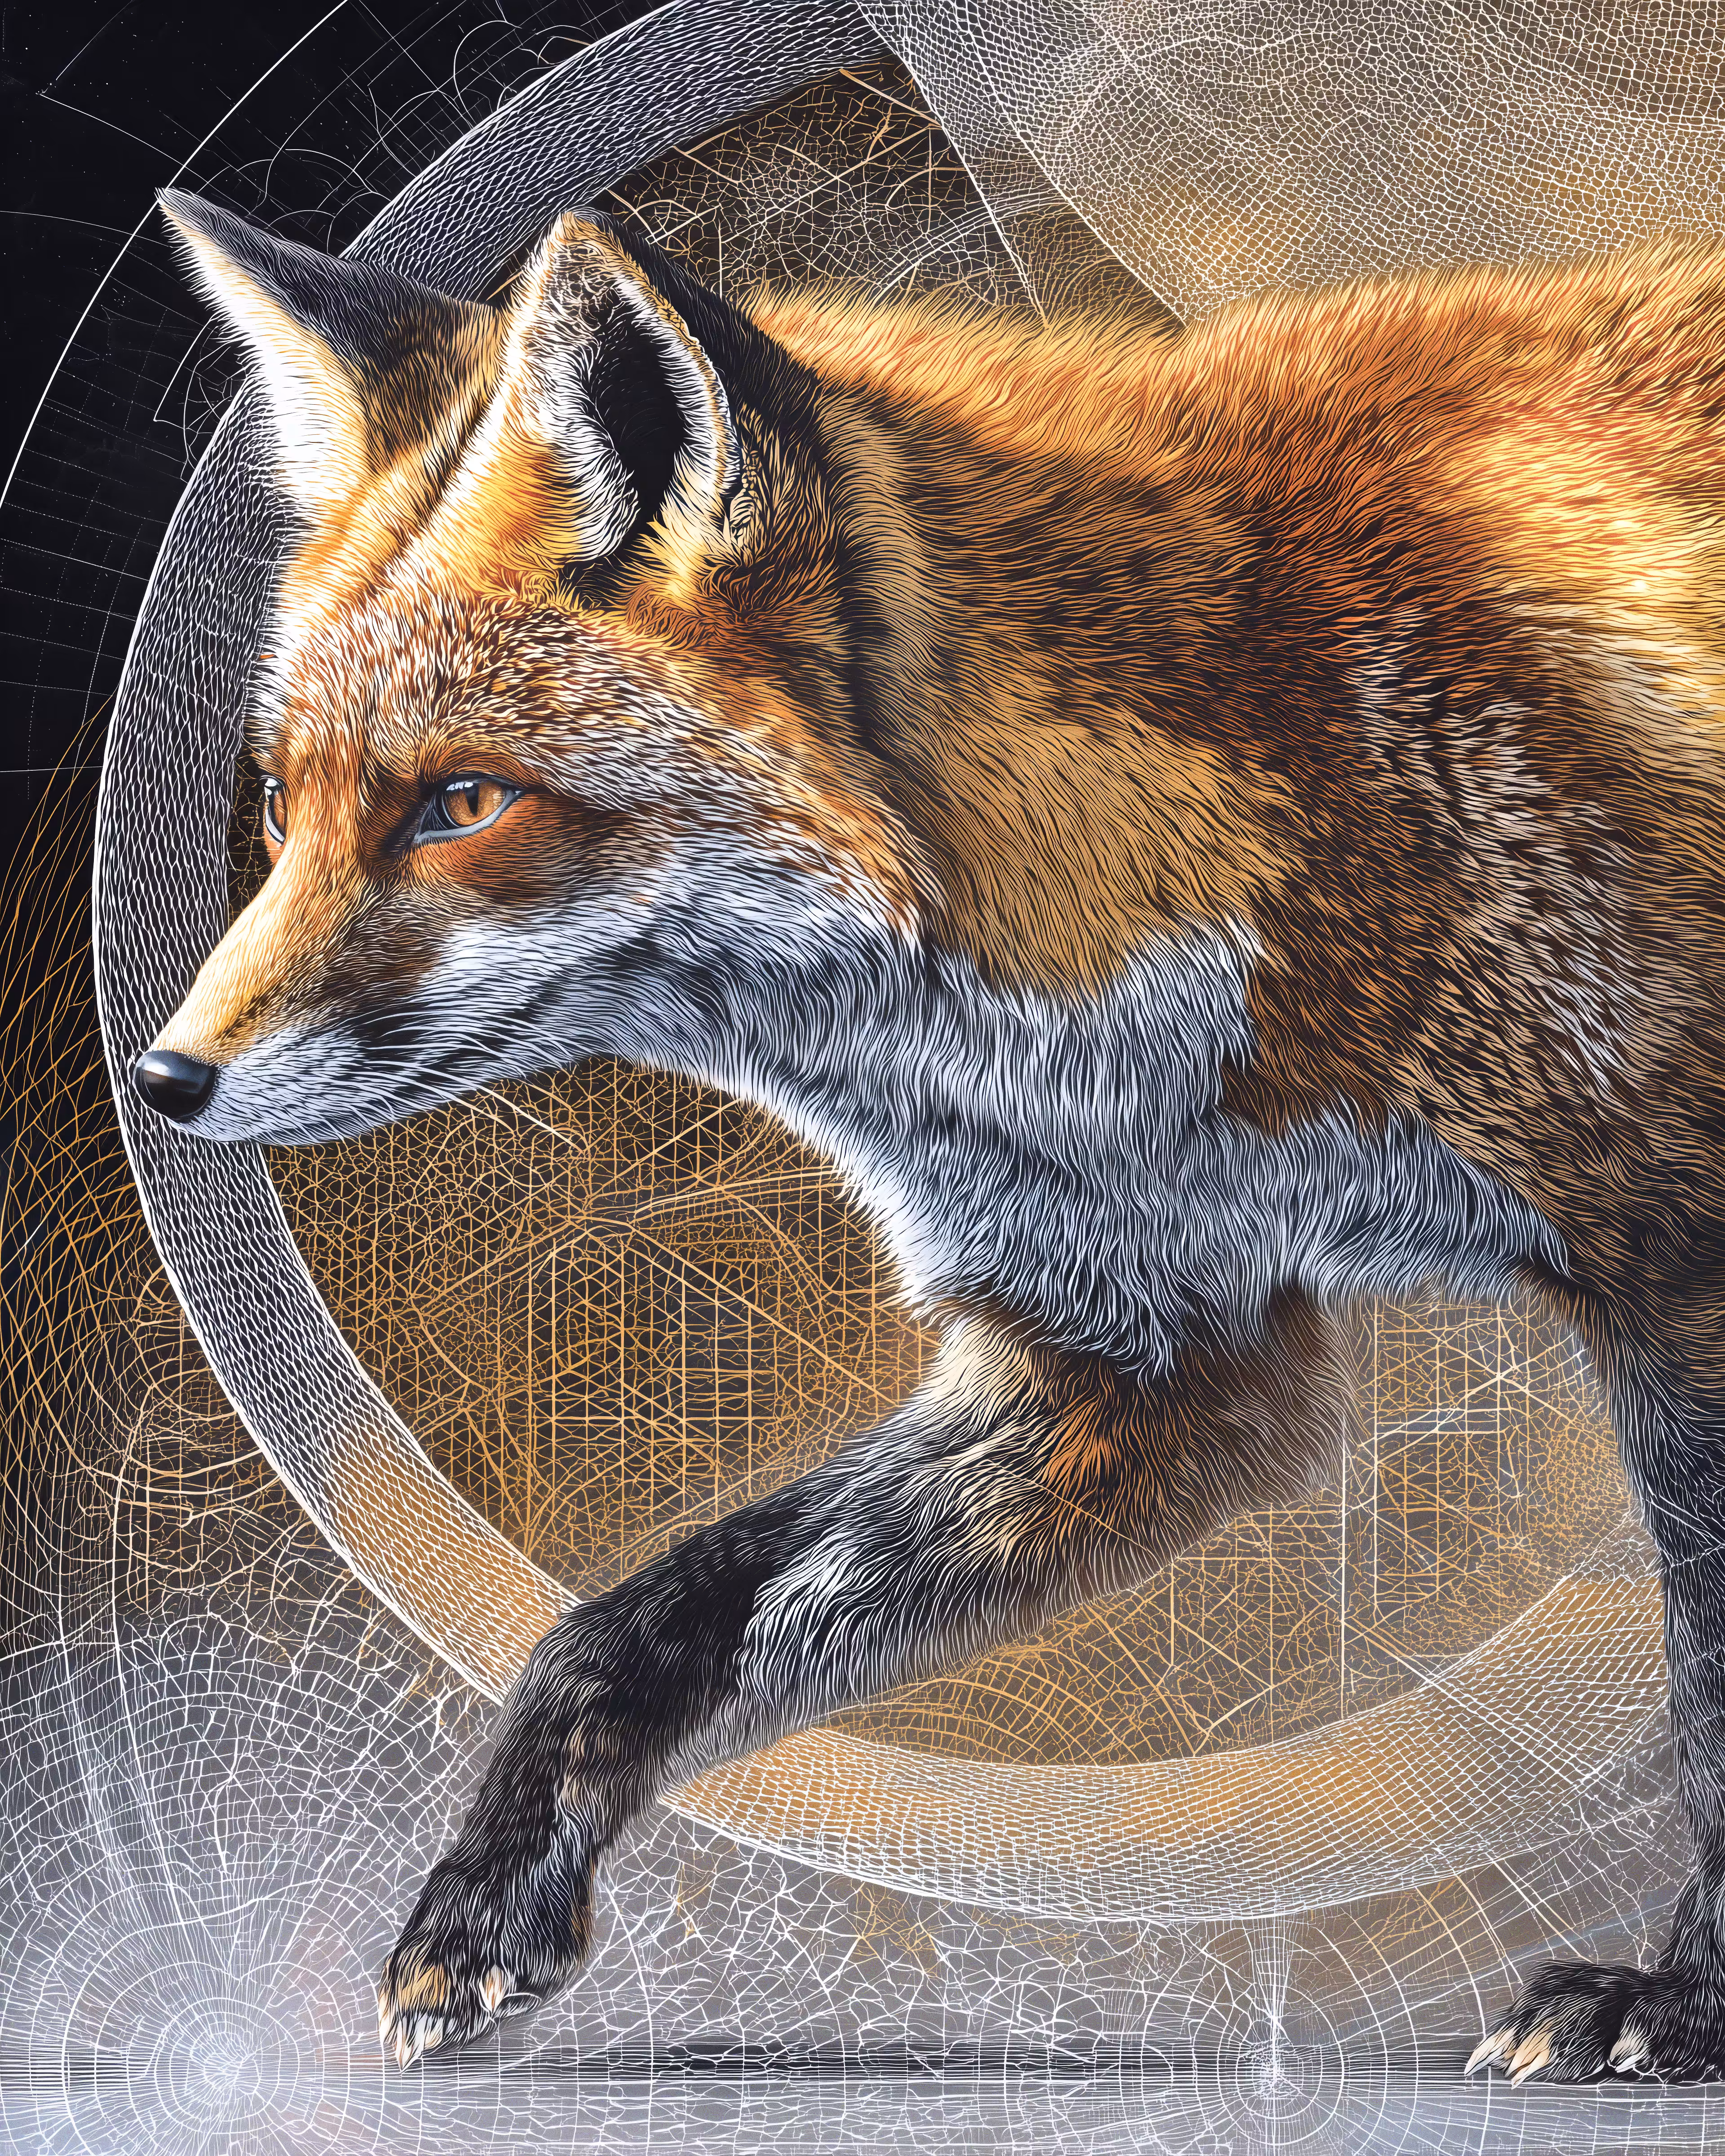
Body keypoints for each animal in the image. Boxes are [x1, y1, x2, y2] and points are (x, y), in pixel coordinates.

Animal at [135, 185, 1725, 2081]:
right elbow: (637, 1623)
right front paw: (485, 1910)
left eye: (460, 805)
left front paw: (1685, 2002)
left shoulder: (1685, 1269)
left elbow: (1719, 1700)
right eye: (284, 806)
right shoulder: (1134, 1358)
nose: (162, 1078)